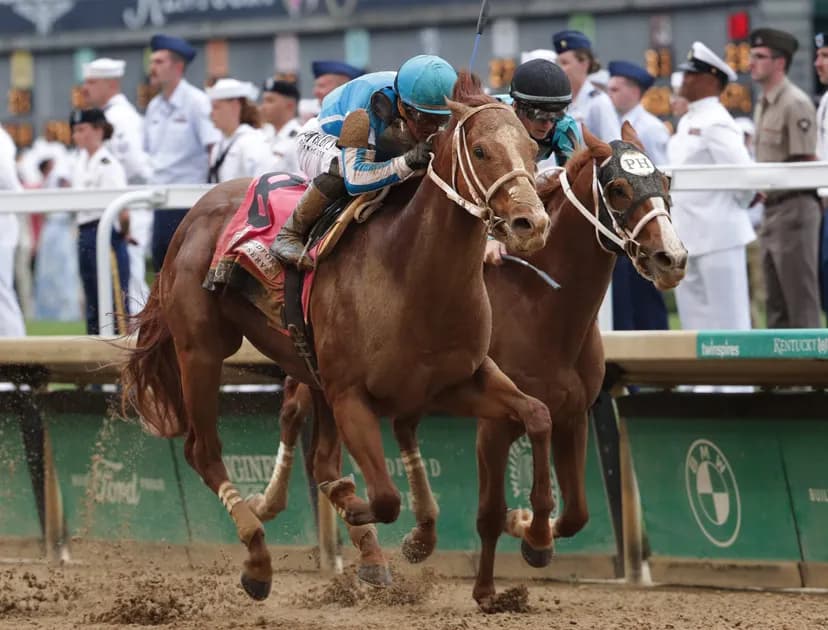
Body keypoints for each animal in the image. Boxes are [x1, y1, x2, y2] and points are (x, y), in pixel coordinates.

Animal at [121, 71, 557, 601]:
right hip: (201, 351)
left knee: (322, 460)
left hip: (306, 367)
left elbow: (537, 415)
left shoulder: (457, 381)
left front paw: (537, 536)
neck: (410, 274)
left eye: (533, 150)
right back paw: (259, 556)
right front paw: (371, 515)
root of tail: (194, 212)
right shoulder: (351, 394)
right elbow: (385, 497)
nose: (532, 224)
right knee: (204, 451)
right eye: (479, 149)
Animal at [271, 121, 687, 611]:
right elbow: (489, 512)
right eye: (618, 188)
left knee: (388, 431)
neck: (543, 305)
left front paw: (531, 532)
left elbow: (577, 514)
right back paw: (269, 505)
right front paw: (494, 581)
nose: (672, 259)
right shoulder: (494, 425)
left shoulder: (573, 414)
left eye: (665, 183)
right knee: (293, 412)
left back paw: (415, 536)